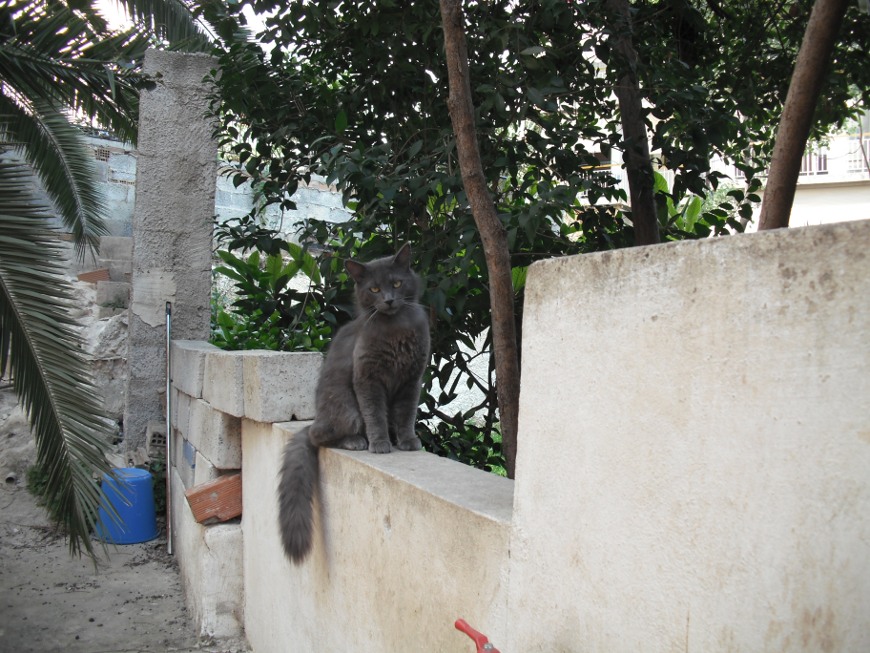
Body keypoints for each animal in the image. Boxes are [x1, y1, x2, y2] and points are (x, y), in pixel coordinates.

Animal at [278, 243, 430, 564]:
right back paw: (355, 441)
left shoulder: (412, 380)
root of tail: (317, 418)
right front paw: (380, 444)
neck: (396, 328)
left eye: (397, 283)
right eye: (374, 288)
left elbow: (406, 415)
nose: (388, 300)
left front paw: (407, 441)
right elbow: (375, 415)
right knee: (320, 436)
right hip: (346, 409)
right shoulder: (367, 379)